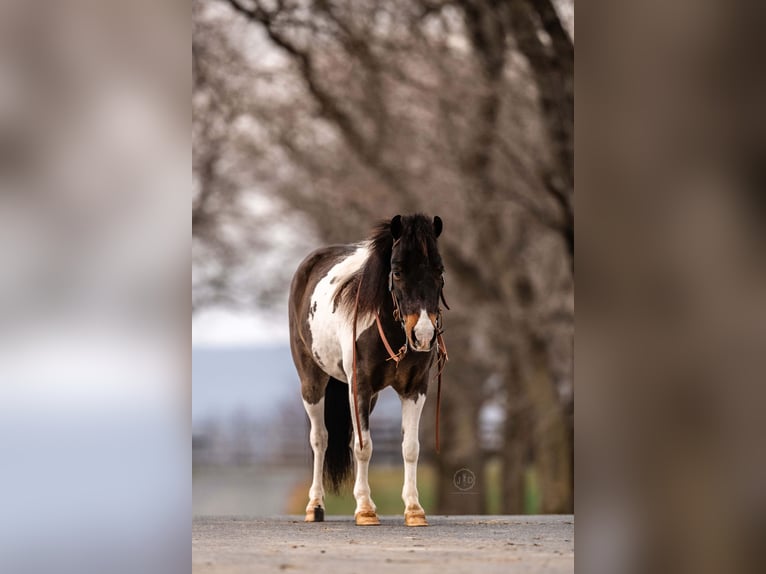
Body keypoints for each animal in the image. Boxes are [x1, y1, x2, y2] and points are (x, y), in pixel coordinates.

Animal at [290, 215, 450, 528]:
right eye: (397, 272)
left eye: (439, 270)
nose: (424, 335)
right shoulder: (359, 386)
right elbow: (363, 448)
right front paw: (365, 509)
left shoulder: (415, 388)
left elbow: (410, 447)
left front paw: (414, 509)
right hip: (311, 381)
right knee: (320, 439)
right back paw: (315, 506)